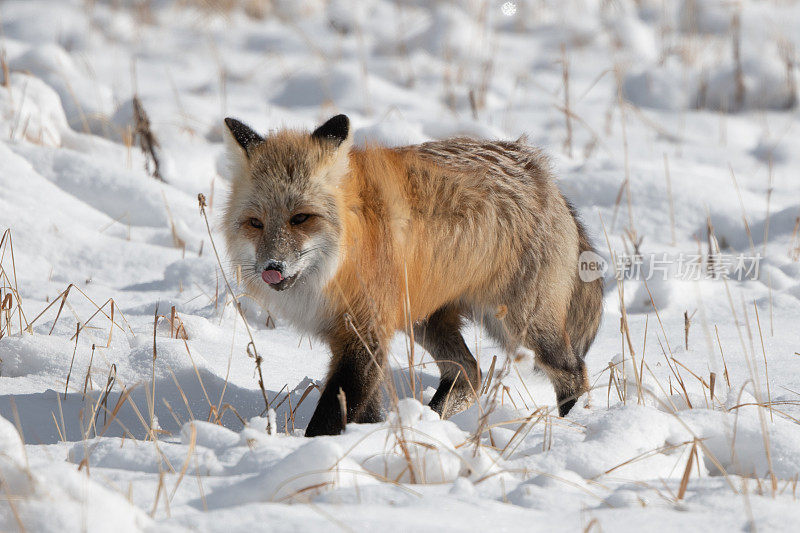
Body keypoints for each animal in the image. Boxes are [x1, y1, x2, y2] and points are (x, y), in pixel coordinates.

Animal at [222, 114, 604, 434]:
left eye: (301, 218)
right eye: (255, 223)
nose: (272, 269)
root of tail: (539, 169)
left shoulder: (366, 331)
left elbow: (331, 414)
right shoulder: (357, 335)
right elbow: (363, 408)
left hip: (521, 324)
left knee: (573, 373)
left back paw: (573, 425)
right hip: (424, 319)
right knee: (468, 372)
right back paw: (429, 422)